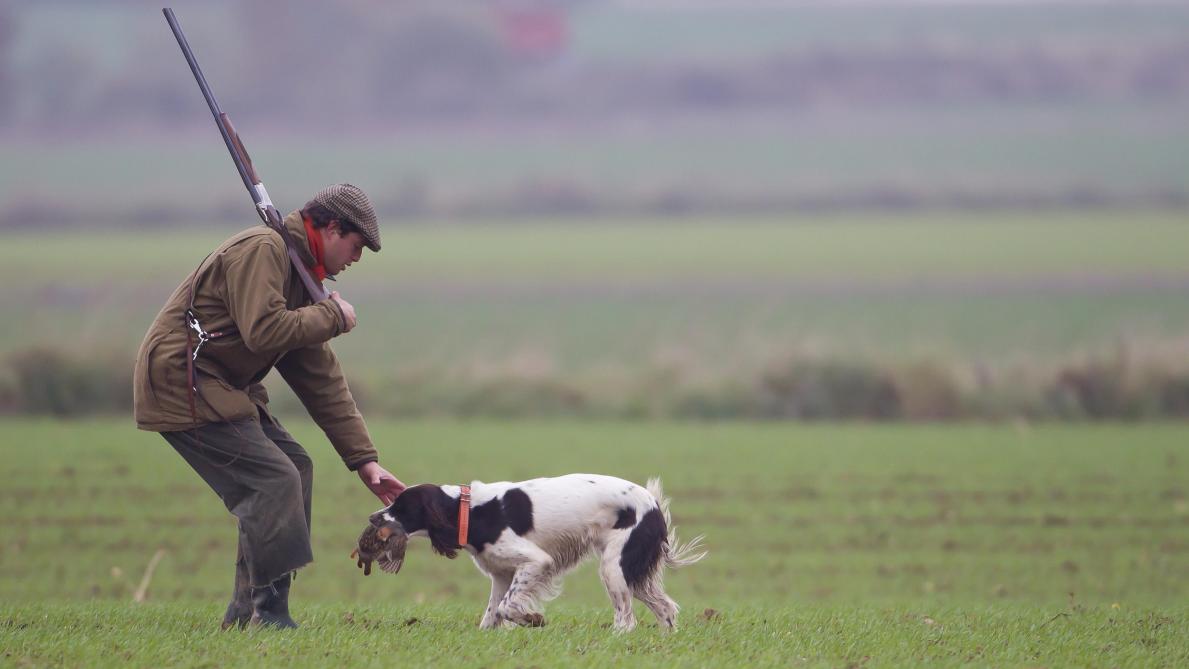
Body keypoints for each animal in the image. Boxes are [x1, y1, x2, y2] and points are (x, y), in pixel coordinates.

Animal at [368, 472, 703, 632]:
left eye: (401, 506)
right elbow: (492, 614)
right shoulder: (501, 575)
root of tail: (654, 503)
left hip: (614, 567)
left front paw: (532, 619)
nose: (372, 517)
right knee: (666, 609)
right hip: (633, 571)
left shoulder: (536, 561)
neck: (470, 511)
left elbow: (506, 607)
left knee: (626, 620)